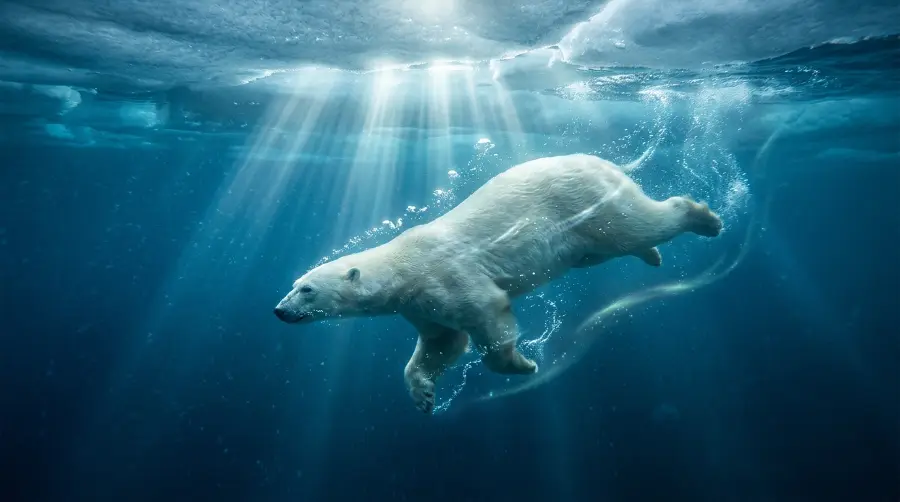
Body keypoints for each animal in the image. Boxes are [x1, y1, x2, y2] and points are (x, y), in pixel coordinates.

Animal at [274, 153, 723, 413]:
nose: (279, 311)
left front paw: (521, 364)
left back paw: (704, 218)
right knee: (615, 246)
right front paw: (423, 395)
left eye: (307, 289)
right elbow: (442, 343)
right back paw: (653, 256)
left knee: (636, 225)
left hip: (587, 203)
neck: (402, 266)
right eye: (293, 284)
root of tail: (605, 162)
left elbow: (486, 314)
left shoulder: (445, 274)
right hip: (587, 238)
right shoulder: (420, 305)